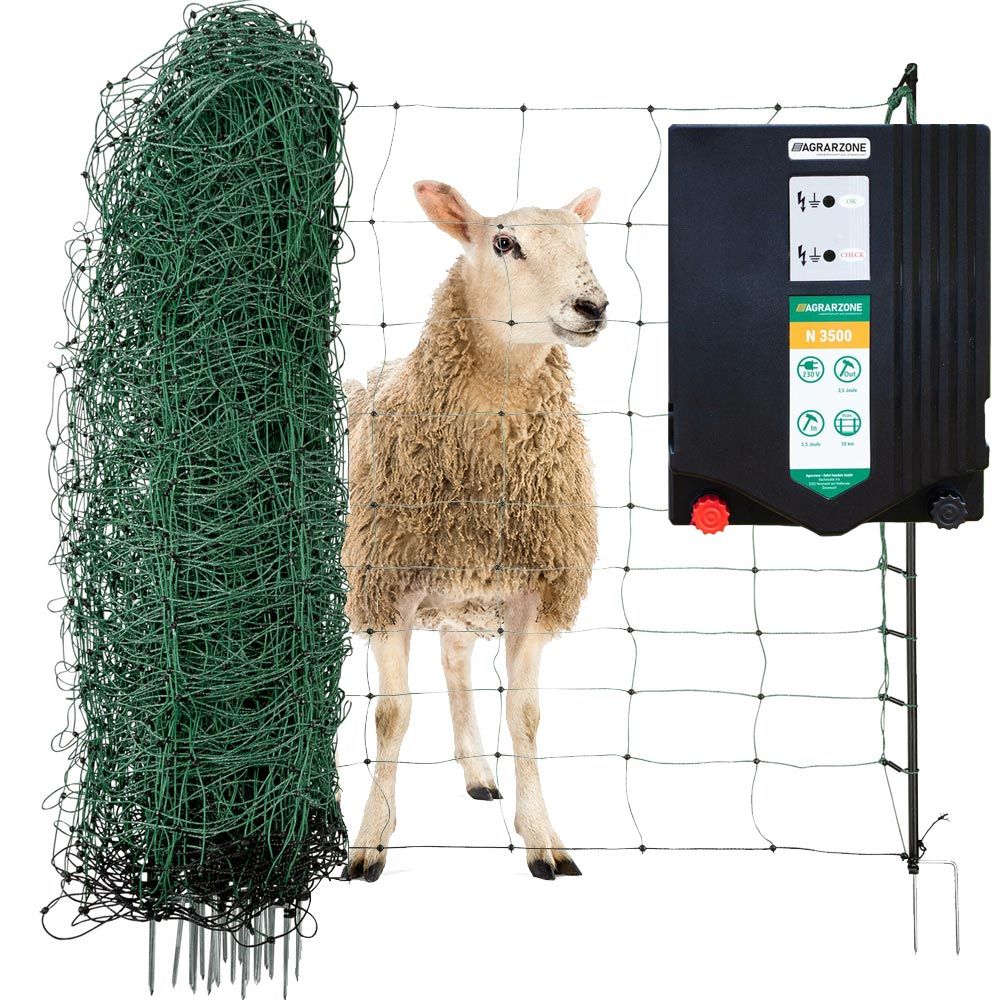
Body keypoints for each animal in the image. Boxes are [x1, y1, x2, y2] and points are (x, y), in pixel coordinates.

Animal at [343, 180, 607, 882]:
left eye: (584, 241)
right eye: (504, 242)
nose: (593, 307)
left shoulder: (535, 591)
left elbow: (526, 715)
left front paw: (543, 836)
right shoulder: (389, 586)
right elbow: (392, 714)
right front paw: (371, 840)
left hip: (465, 590)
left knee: (455, 660)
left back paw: (479, 772)